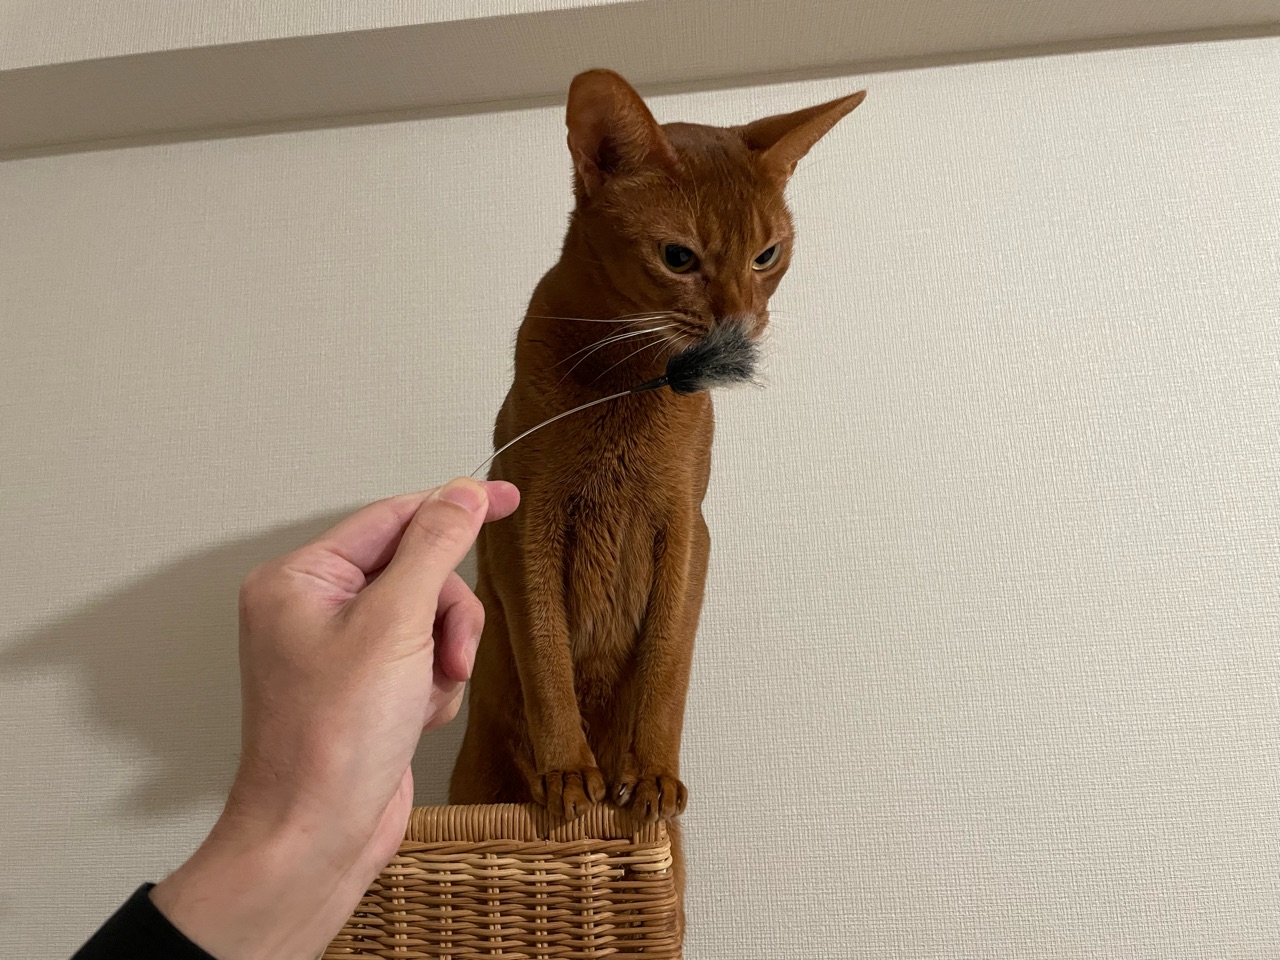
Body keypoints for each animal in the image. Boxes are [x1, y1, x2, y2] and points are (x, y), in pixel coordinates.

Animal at [449, 66, 863, 925]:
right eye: (679, 257)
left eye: (768, 254)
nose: (741, 322)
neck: (626, 378)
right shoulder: (524, 526)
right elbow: (547, 654)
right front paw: (570, 774)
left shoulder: (687, 529)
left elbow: (669, 657)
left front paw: (649, 775)